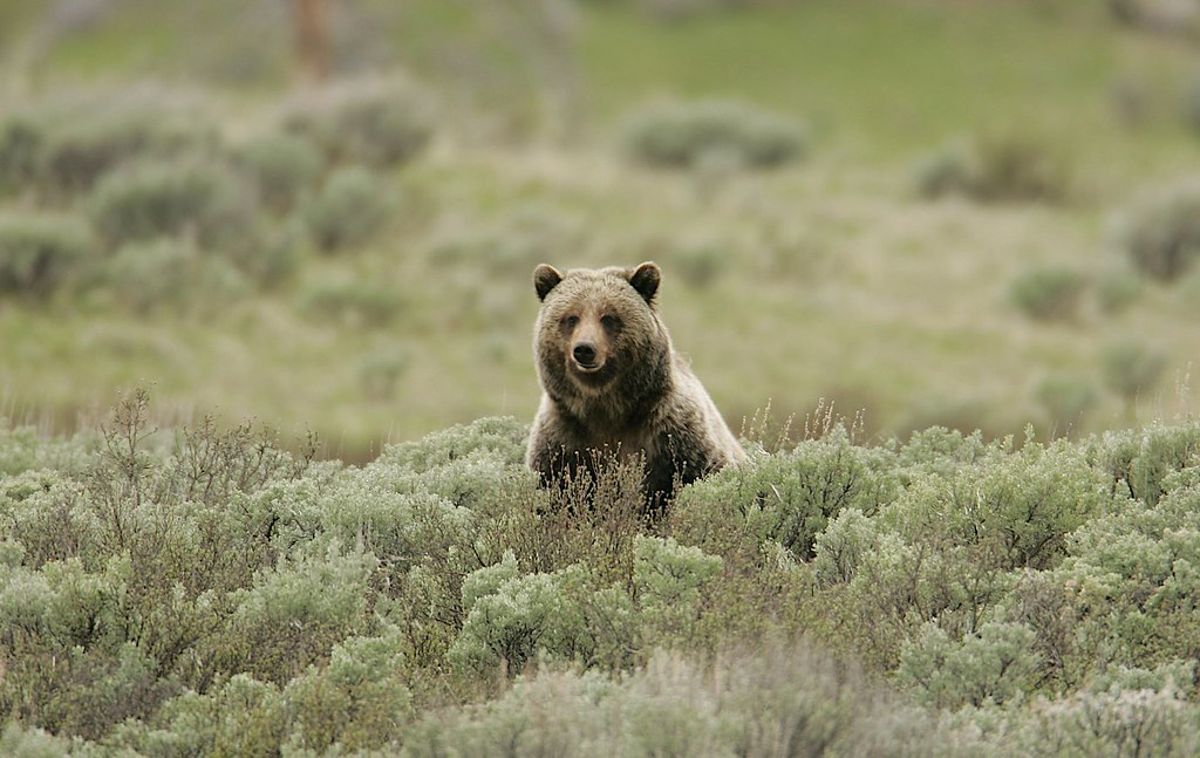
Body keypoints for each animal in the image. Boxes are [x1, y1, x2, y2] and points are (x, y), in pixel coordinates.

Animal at [525, 261, 746, 506]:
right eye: (571, 317)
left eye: (608, 317)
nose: (584, 349)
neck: (606, 408)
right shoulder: (562, 441)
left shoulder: (674, 436)